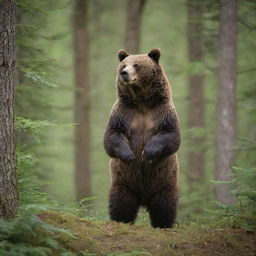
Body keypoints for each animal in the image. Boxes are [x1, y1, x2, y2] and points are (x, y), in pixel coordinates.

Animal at [103, 48, 181, 228]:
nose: (124, 73)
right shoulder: (123, 113)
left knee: (164, 203)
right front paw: (130, 155)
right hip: (124, 181)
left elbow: (171, 135)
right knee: (121, 201)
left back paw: (163, 224)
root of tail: (144, 200)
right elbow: (112, 135)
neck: (142, 102)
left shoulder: (163, 112)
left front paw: (148, 152)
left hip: (163, 180)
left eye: (137, 65)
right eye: (123, 65)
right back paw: (121, 220)